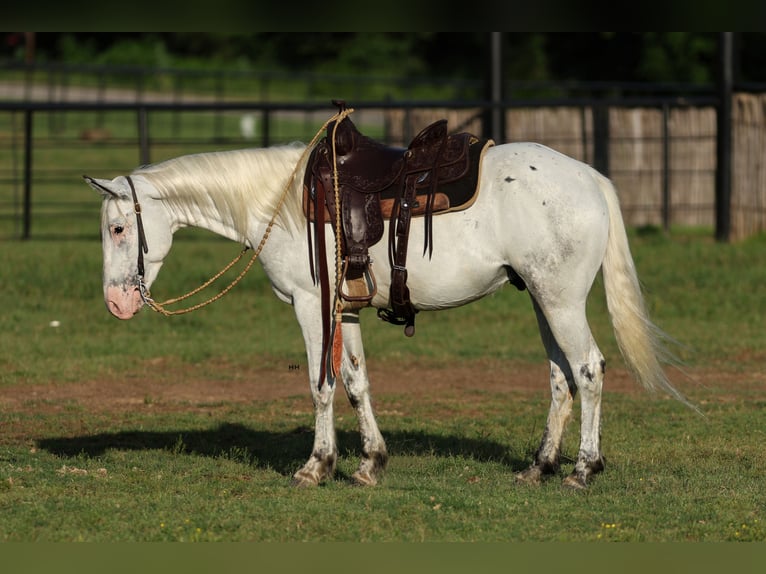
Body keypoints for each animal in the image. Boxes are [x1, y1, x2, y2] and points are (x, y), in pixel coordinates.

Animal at [85, 138, 688, 490]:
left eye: (117, 228)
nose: (116, 302)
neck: (283, 200)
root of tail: (589, 178)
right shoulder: (345, 310)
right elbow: (356, 383)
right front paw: (370, 463)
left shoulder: (312, 306)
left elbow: (321, 386)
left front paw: (316, 466)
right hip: (543, 300)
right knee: (561, 378)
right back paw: (539, 467)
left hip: (560, 300)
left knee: (588, 370)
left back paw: (583, 470)